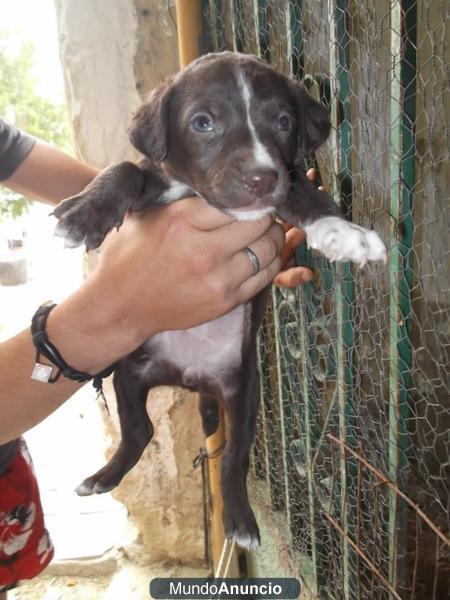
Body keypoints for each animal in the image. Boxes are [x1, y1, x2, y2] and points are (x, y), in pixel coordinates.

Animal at [51, 51, 384, 548]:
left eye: (284, 122)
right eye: (203, 123)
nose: (261, 178)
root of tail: (191, 377)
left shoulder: (283, 189)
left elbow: (304, 193)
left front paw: (342, 232)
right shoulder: (153, 187)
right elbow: (124, 169)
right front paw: (85, 213)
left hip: (242, 393)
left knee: (231, 458)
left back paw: (240, 521)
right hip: (130, 371)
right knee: (140, 430)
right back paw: (103, 477)